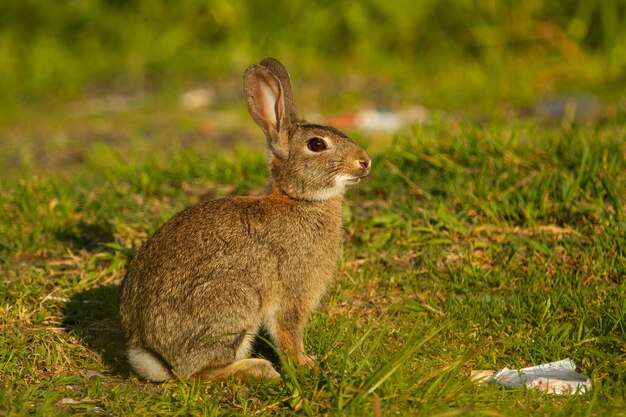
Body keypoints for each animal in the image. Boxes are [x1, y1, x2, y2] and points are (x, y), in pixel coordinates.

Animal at [119, 57, 368, 382]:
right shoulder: (292, 291)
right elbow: (288, 332)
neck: (297, 199)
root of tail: (154, 356)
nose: (365, 162)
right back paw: (258, 368)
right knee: (197, 373)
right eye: (316, 145)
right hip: (236, 302)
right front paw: (305, 365)